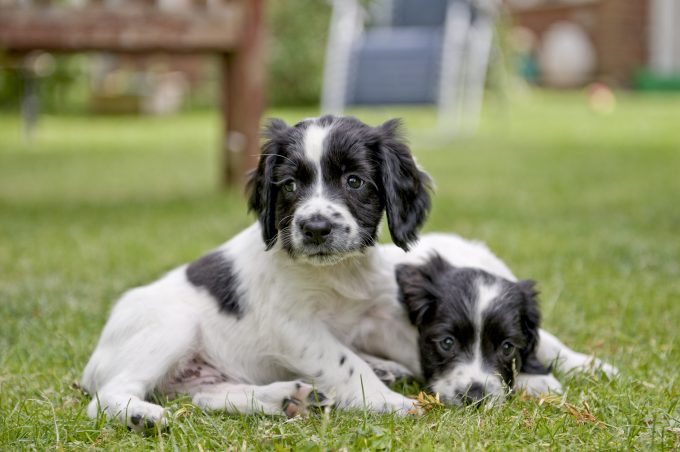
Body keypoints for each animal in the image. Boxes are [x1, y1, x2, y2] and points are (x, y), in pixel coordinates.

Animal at [81, 115, 430, 430]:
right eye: (289, 185)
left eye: (355, 181)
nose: (315, 229)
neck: (337, 271)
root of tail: (92, 364)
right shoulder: (291, 325)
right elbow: (347, 363)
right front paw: (388, 401)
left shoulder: (378, 314)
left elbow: (412, 343)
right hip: (173, 325)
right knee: (105, 397)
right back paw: (142, 415)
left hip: (206, 375)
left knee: (206, 397)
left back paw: (288, 398)